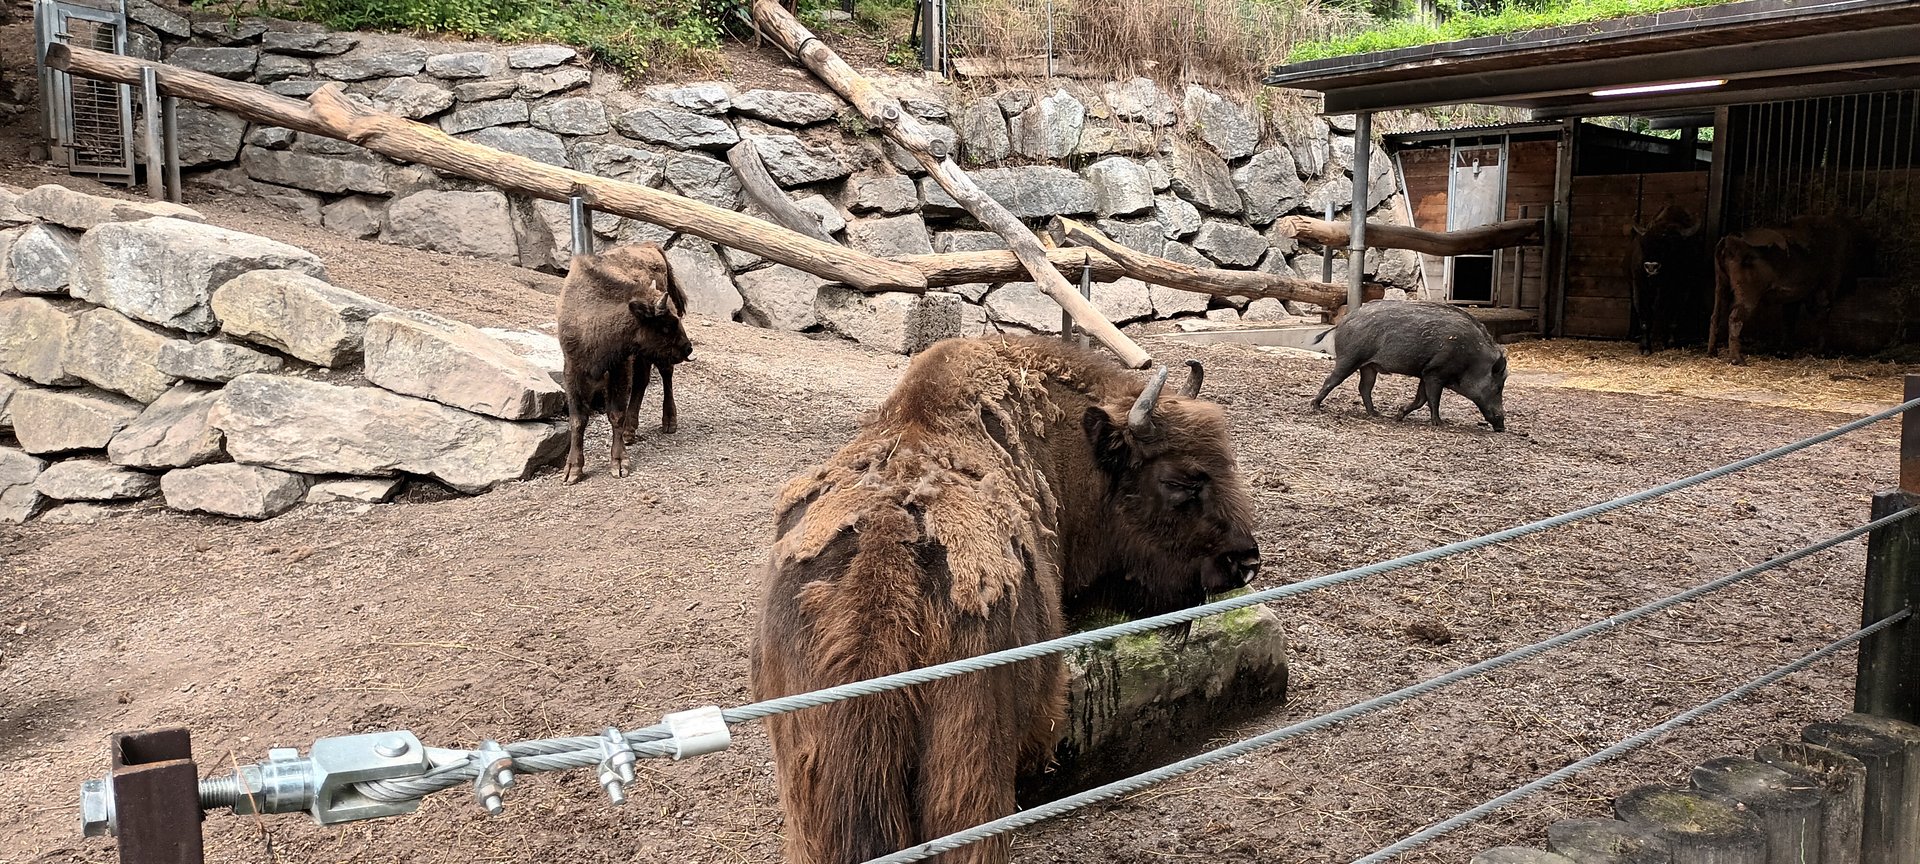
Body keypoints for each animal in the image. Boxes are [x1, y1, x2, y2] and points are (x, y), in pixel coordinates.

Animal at [1310, 301, 1508, 432]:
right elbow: (1432, 400)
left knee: (1364, 387)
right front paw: (1440, 424)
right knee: (1331, 380)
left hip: (1369, 367)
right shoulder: (1435, 373)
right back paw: (1315, 407)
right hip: (1350, 358)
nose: (1502, 427)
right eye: (1498, 387)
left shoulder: (1425, 373)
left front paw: (1399, 415)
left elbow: (1421, 399)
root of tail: (1342, 322)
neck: (1472, 360)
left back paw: (1376, 414)